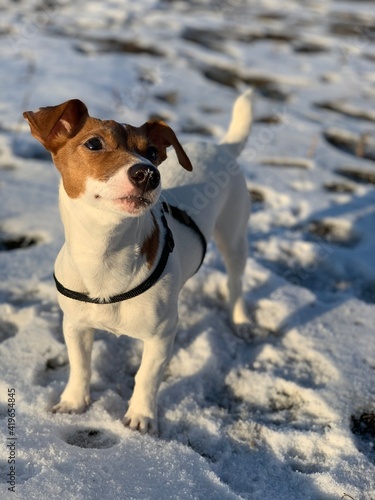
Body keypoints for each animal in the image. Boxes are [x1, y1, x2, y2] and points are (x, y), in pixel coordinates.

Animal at [22, 90, 253, 434]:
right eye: (94, 144)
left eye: (152, 152)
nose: (147, 173)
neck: (105, 253)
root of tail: (221, 146)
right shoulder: (75, 325)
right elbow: (80, 365)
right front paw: (74, 402)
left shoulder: (160, 337)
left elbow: (146, 377)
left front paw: (141, 416)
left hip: (234, 235)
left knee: (235, 281)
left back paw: (240, 321)